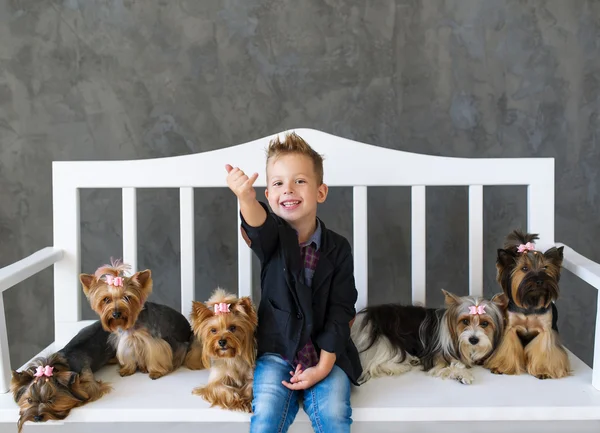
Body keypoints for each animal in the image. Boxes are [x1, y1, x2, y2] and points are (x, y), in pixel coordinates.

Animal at [482, 230, 572, 378]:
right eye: (524, 268)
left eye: (545, 267)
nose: (539, 280)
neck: (530, 302)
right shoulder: (510, 328)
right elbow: (507, 348)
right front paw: (500, 367)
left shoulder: (545, 331)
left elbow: (544, 350)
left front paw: (543, 370)